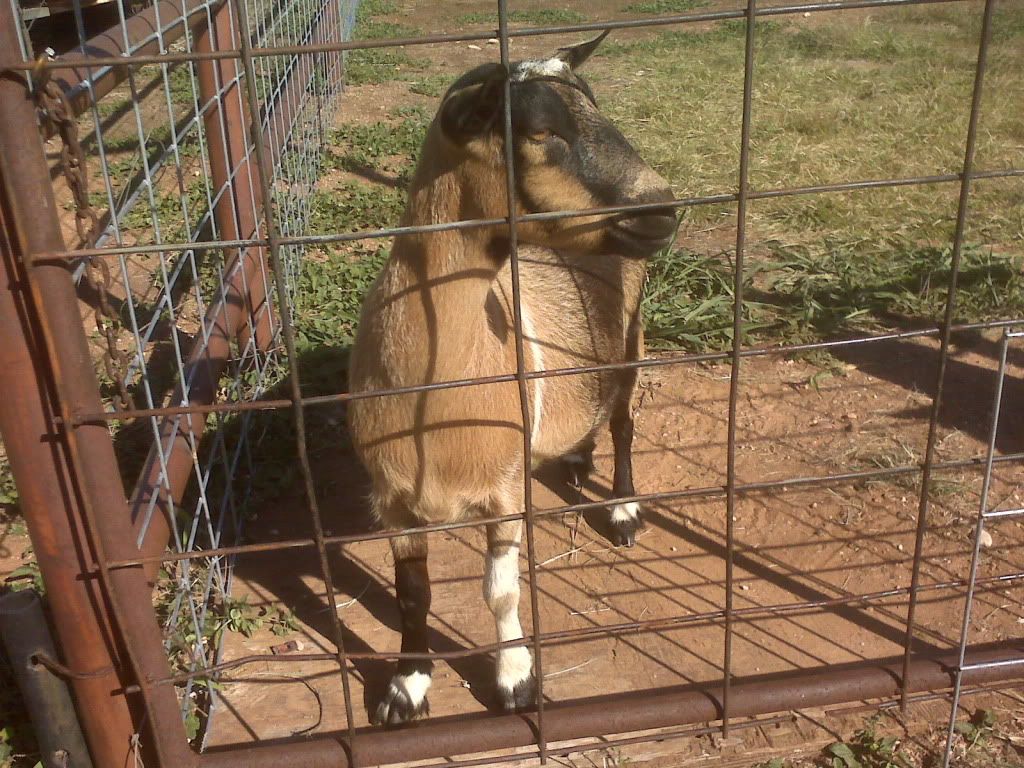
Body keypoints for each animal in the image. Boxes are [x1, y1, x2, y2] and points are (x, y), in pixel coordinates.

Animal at [347, 32, 676, 725]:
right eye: (542, 131)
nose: (666, 208)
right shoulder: (392, 501)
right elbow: (412, 595)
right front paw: (406, 686)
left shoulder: (502, 491)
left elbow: (499, 593)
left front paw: (516, 680)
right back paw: (575, 457)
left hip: (632, 340)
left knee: (625, 423)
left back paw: (623, 510)